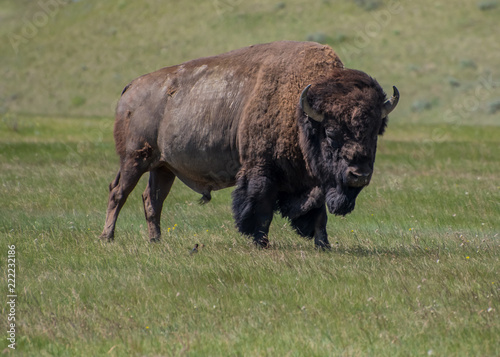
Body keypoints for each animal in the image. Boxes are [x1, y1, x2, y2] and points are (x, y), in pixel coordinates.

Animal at [99, 40, 400, 248]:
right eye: (331, 132)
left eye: (375, 132)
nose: (359, 175)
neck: (298, 110)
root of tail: (131, 87)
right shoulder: (261, 170)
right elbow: (260, 207)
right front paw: (261, 242)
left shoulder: (314, 182)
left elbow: (318, 213)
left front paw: (324, 245)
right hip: (134, 159)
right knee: (118, 192)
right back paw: (107, 237)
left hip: (163, 167)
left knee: (152, 199)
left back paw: (156, 240)